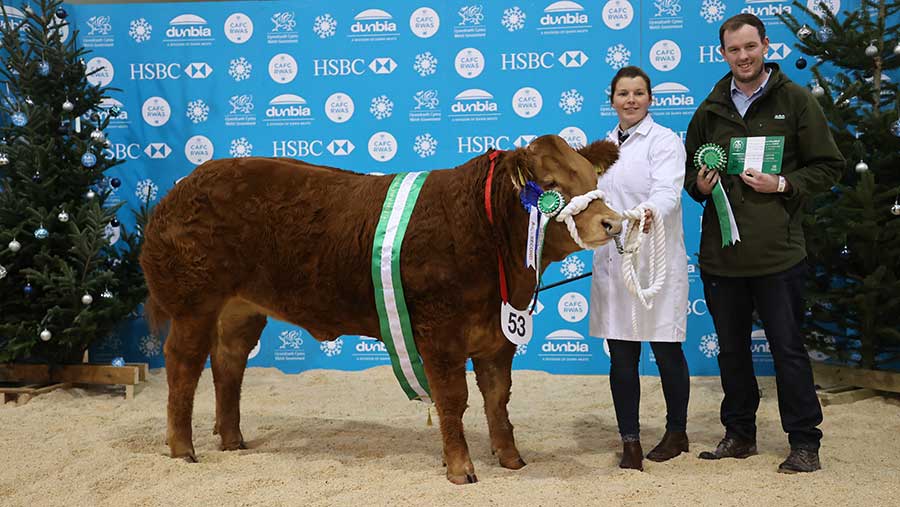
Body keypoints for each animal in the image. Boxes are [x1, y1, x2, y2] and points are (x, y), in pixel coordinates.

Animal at [142, 134, 620, 484]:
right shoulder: (439, 330)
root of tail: (181, 187)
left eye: (588, 177)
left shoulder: (499, 334)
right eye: (552, 185)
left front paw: (511, 458)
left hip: (241, 309)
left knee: (228, 364)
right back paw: (183, 449)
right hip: (193, 303)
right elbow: (453, 398)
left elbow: (497, 398)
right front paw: (460, 469)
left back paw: (232, 439)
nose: (612, 222)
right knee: (183, 365)